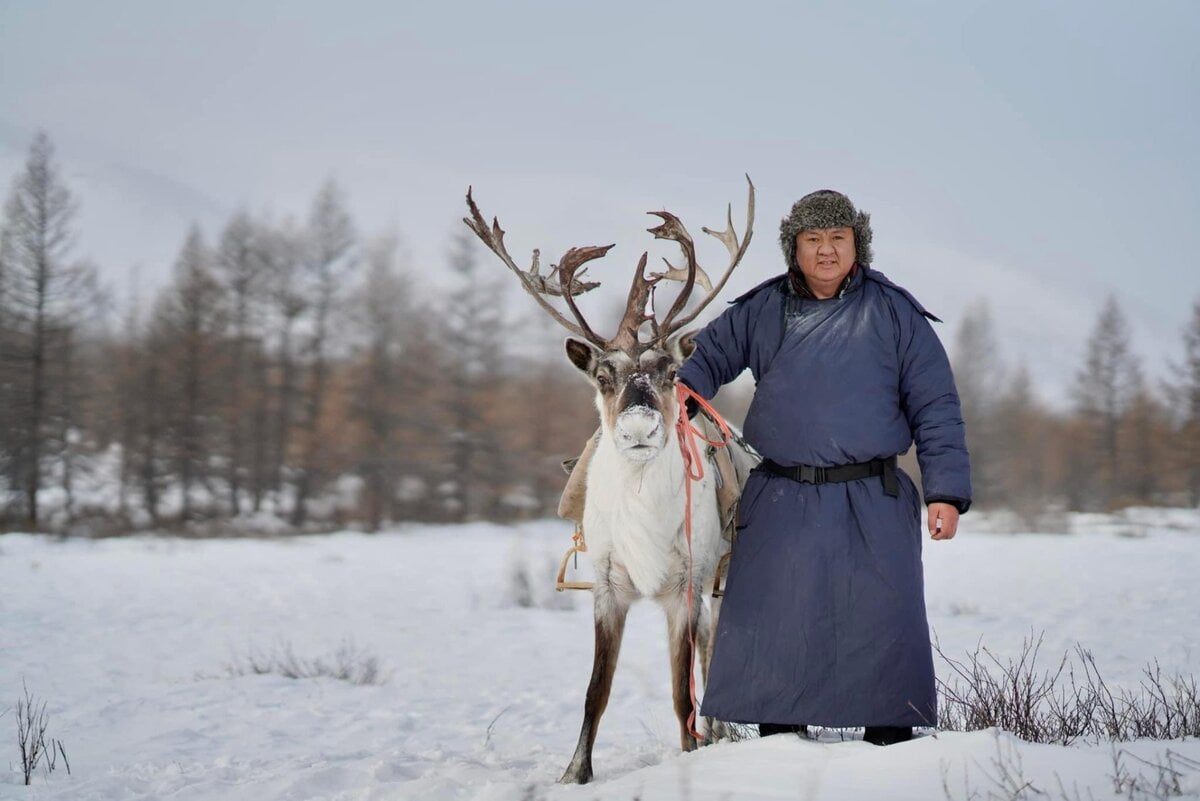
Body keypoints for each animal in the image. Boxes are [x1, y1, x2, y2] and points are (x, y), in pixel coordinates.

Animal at [463, 178, 757, 785]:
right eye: (603, 376)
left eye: (671, 373)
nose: (639, 429)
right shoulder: (605, 586)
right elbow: (595, 692)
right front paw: (574, 773)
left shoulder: (685, 586)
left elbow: (681, 692)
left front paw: (689, 758)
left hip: (721, 577)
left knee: (712, 655)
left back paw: (716, 732)